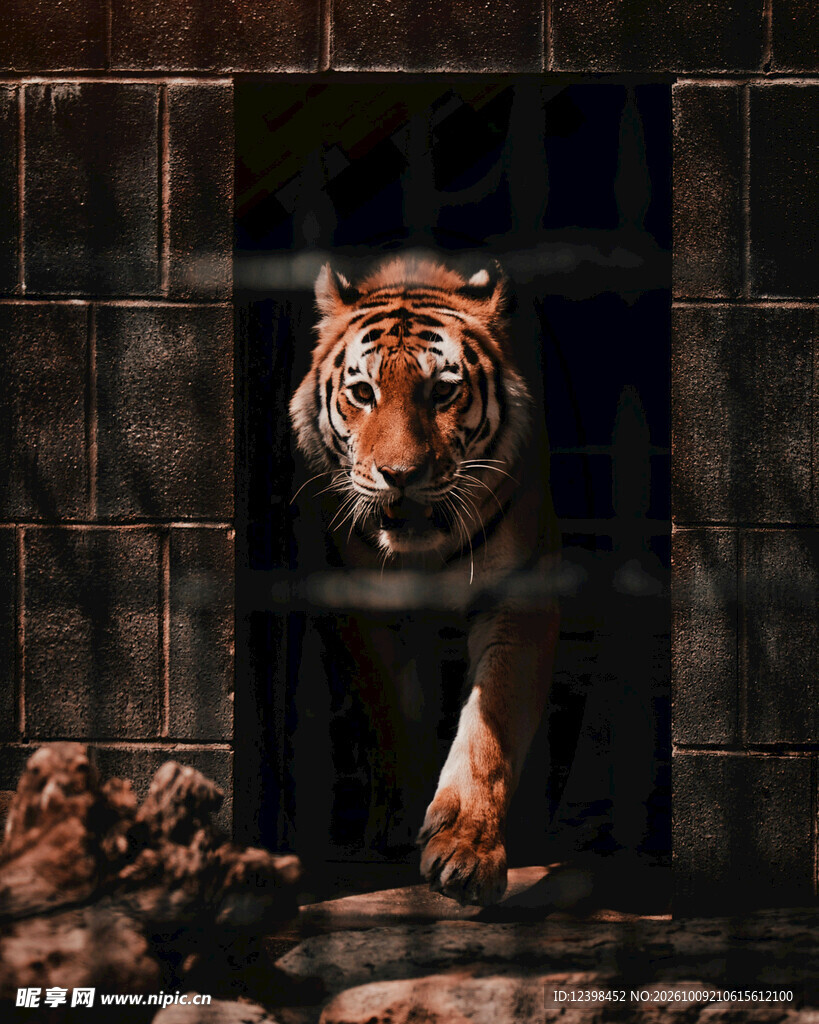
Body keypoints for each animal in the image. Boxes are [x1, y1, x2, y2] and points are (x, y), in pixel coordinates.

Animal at [289, 254, 560, 905]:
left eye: (443, 391)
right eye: (363, 393)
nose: (400, 474)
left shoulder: (520, 598)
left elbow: (489, 728)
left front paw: (466, 851)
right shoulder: (365, 607)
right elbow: (393, 712)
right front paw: (397, 817)